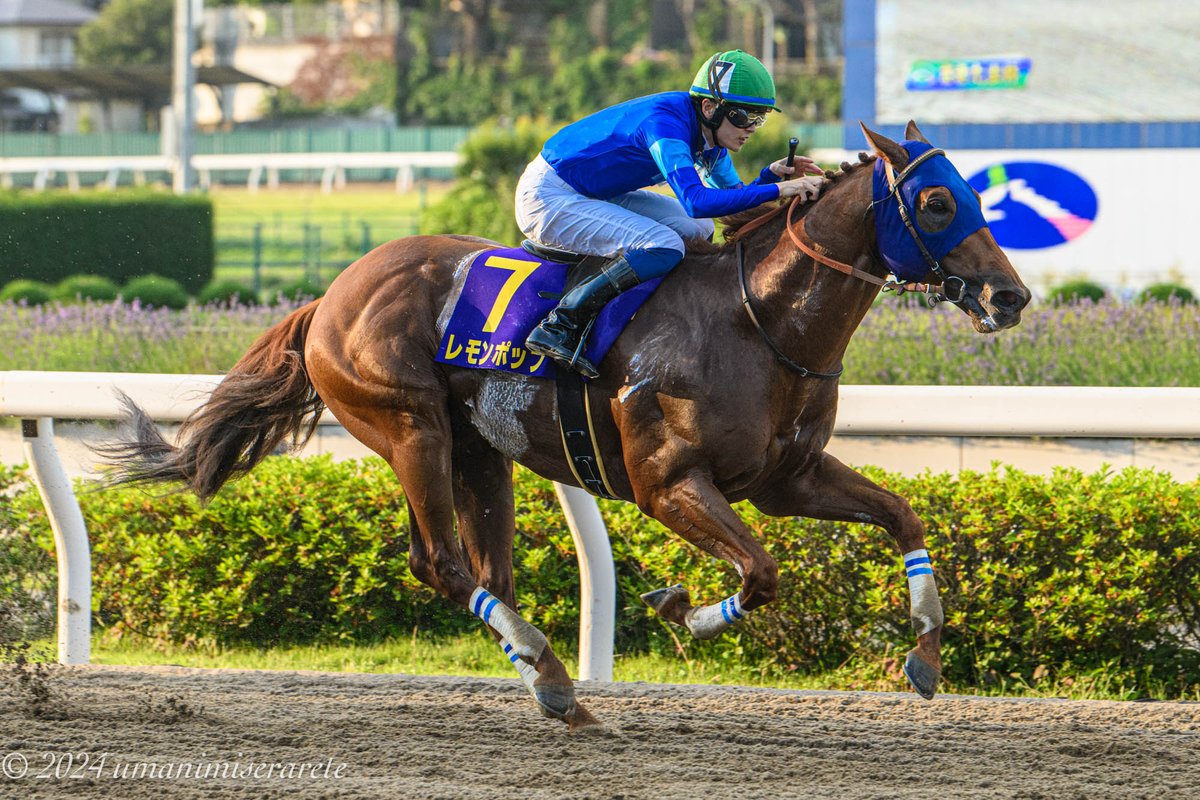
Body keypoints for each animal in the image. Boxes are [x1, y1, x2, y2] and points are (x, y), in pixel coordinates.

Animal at [102, 122, 1030, 730]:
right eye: (937, 200)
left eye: (978, 193)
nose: (1011, 295)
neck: (759, 321)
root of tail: (329, 293)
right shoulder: (667, 483)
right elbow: (761, 574)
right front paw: (682, 609)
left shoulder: (785, 479)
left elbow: (904, 518)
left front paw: (925, 656)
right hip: (408, 425)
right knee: (442, 563)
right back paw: (551, 677)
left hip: (481, 450)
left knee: (485, 570)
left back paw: (549, 679)